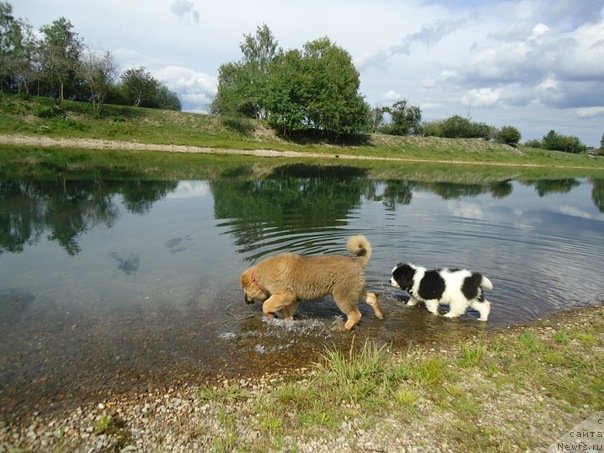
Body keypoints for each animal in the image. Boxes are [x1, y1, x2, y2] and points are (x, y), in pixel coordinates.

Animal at [239, 237, 384, 328]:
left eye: (244, 290)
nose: (245, 301)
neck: (258, 277)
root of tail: (356, 261)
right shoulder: (292, 299)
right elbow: (287, 313)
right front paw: (287, 322)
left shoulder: (285, 294)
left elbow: (266, 305)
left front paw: (269, 315)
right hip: (355, 289)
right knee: (372, 297)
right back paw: (379, 315)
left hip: (342, 295)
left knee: (355, 314)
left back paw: (344, 328)